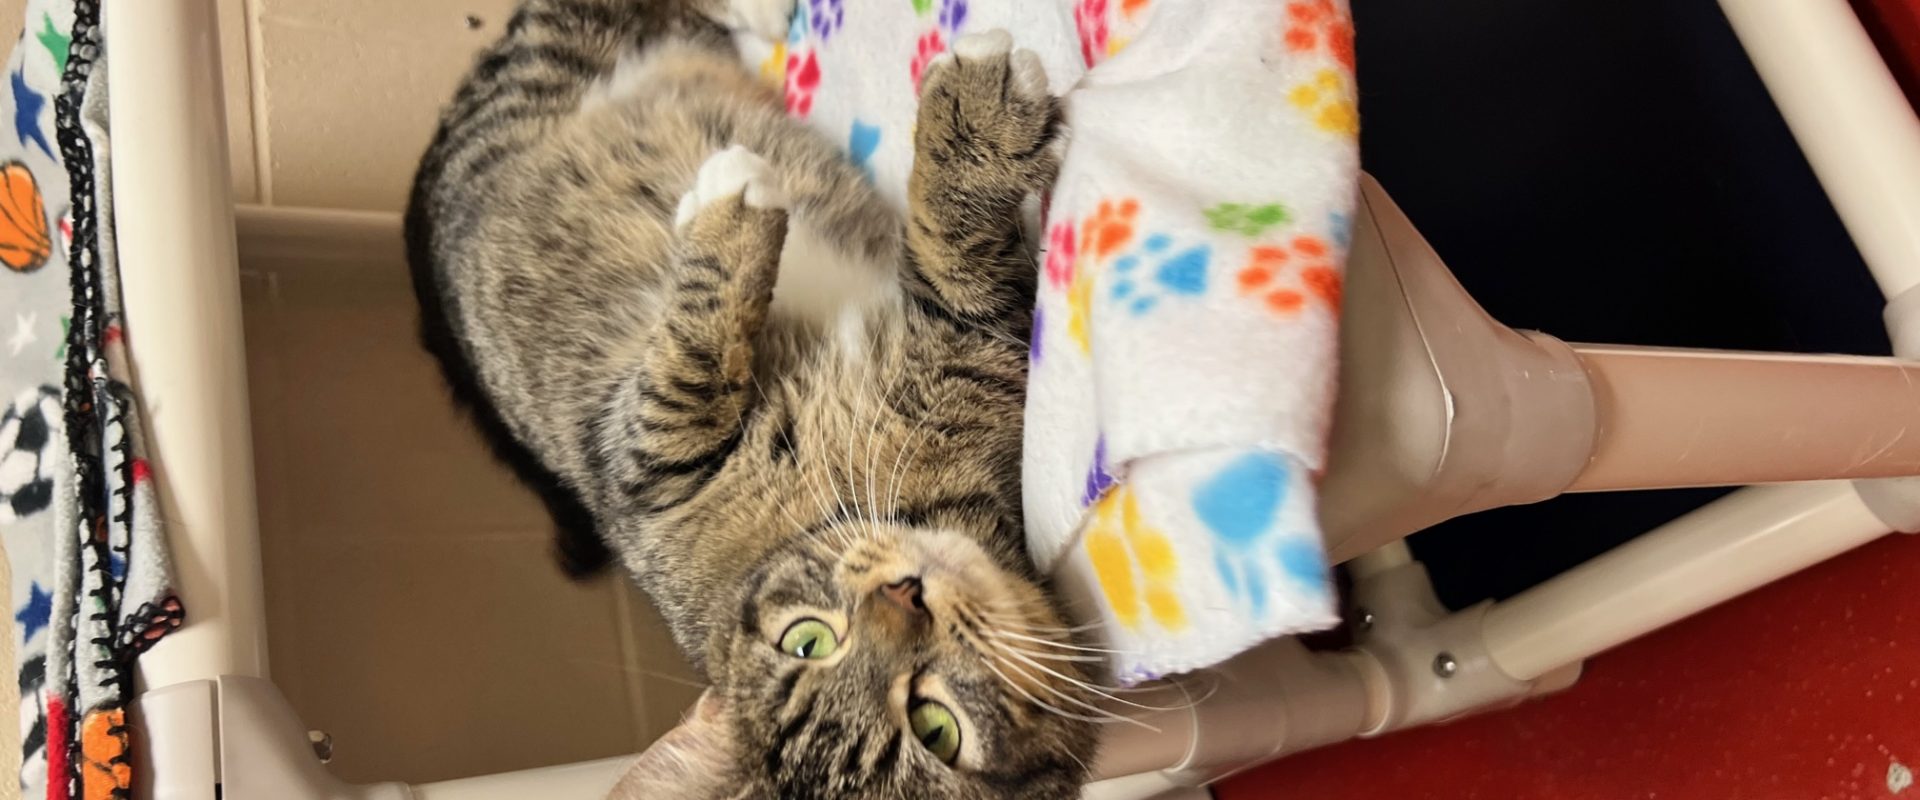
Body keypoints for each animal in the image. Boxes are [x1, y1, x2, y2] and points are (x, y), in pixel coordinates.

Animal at [402, 1, 1100, 797]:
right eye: (809, 641)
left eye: (937, 727)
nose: (905, 594)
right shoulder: (638, 470)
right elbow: (694, 369)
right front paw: (736, 211)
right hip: (552, 60)